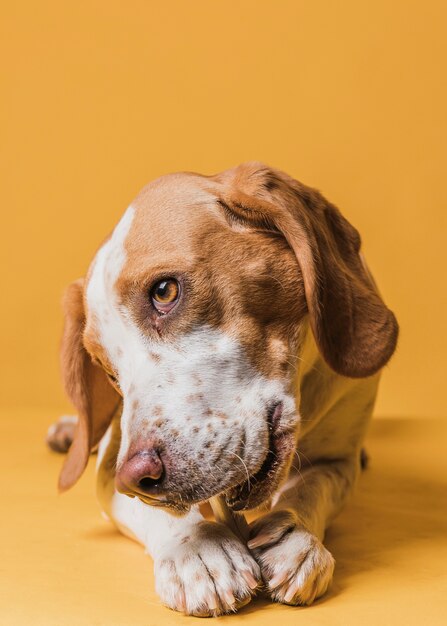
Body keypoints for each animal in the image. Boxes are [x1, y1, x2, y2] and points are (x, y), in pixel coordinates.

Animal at [48, 162, 400, 616]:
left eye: (165, 291)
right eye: (108, 370)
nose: (138, 478)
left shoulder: (337, 462)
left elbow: (312, 487)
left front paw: (295, 537)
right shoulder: (110, 469)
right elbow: (167, 514)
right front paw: (198, 550)